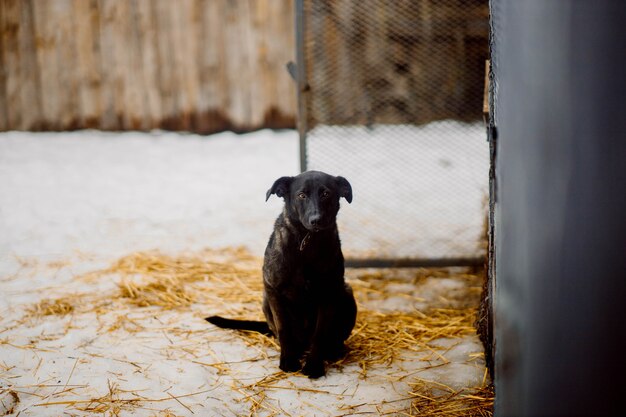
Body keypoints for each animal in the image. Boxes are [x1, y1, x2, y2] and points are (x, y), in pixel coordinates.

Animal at [206, 169, 356, 376]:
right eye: (301, 195)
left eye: (326, 194)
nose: (316, 220)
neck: (306, 244)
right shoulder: (273, 290)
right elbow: (284, 329)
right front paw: (288, 360)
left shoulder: (328, 293)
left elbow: (320, 333)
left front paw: (314, 365)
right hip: (266, 301)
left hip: (346, 293)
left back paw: (334, 350)